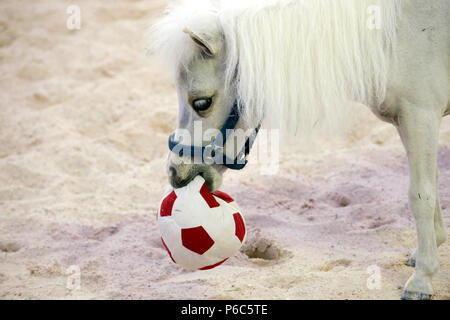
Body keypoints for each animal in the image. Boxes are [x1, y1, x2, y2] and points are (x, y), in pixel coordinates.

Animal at [149, 0, 448, 300]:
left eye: (202, 102)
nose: (175, 172)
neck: (391, 35)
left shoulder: (420, 116)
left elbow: (420, 196)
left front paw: (422, 278)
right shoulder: (410, 122)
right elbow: (430, 183)